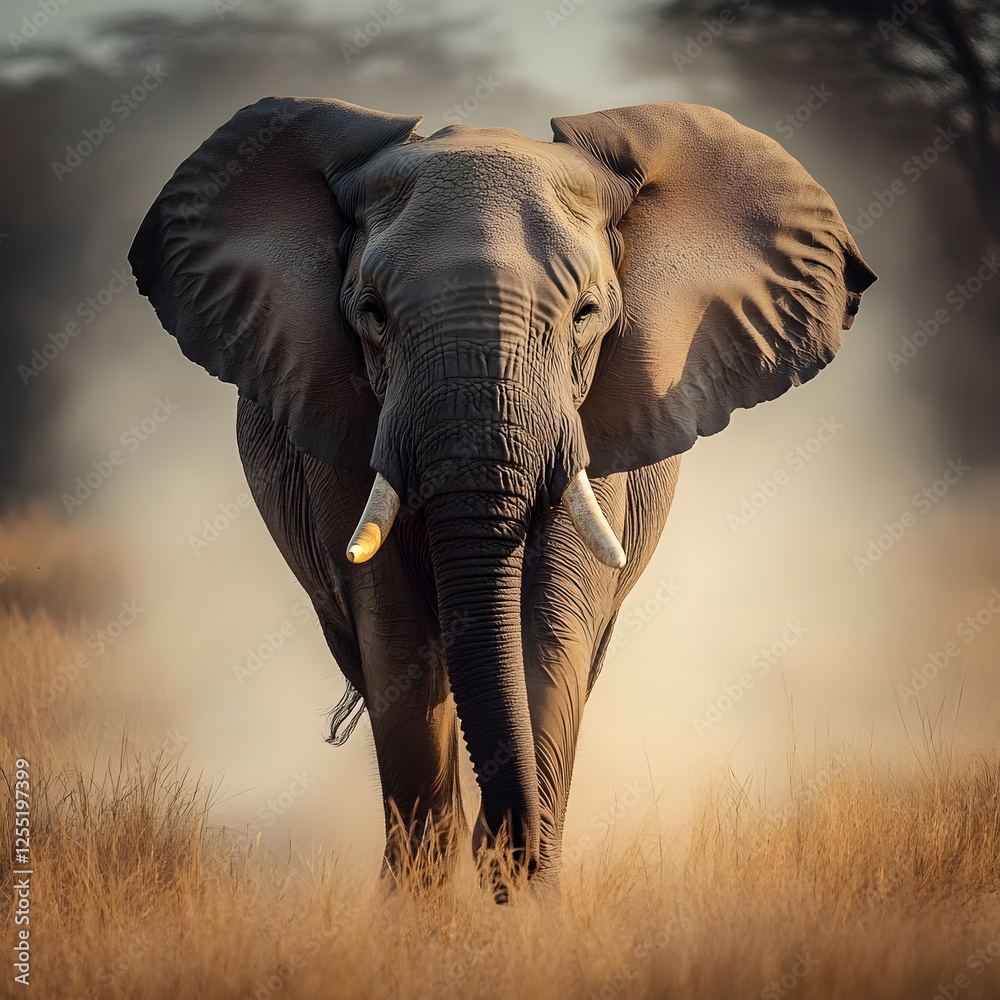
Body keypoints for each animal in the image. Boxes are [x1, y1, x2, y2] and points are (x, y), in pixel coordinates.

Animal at [128, 96, 875, 898]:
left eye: (586, 313)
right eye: (372, 312)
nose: (507, 855)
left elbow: (550, 633)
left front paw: (523, 896)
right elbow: (400, 645)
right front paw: (428, 909)